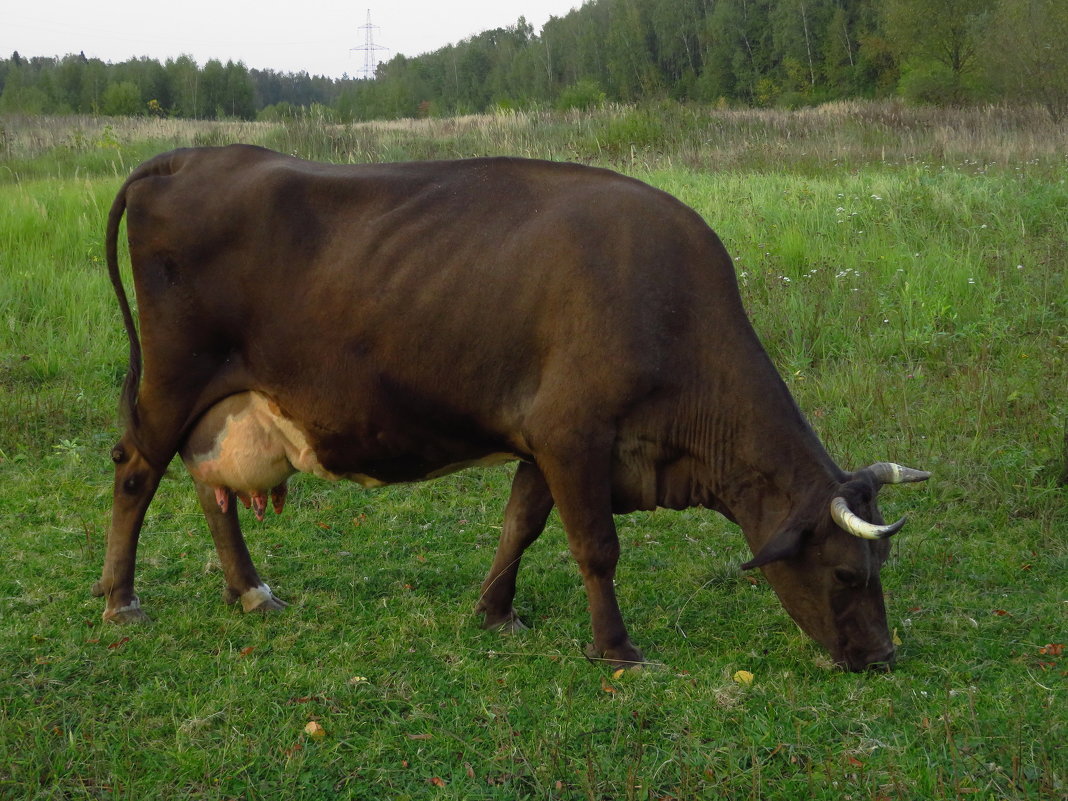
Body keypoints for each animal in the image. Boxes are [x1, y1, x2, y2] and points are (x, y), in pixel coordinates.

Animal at [96, 144, 931, 670]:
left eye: (883, 564)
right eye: (847, 573)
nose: (882, 657)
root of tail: (190, 156)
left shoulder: (546, 439)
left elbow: (520, 523)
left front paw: (496, 610)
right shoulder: (575, 433)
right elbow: (596, 546)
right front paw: (618, 650)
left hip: (220, 406)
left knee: (210, 489)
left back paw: (250, 590)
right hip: (173, 379)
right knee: (136, 471)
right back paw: (121, 599)